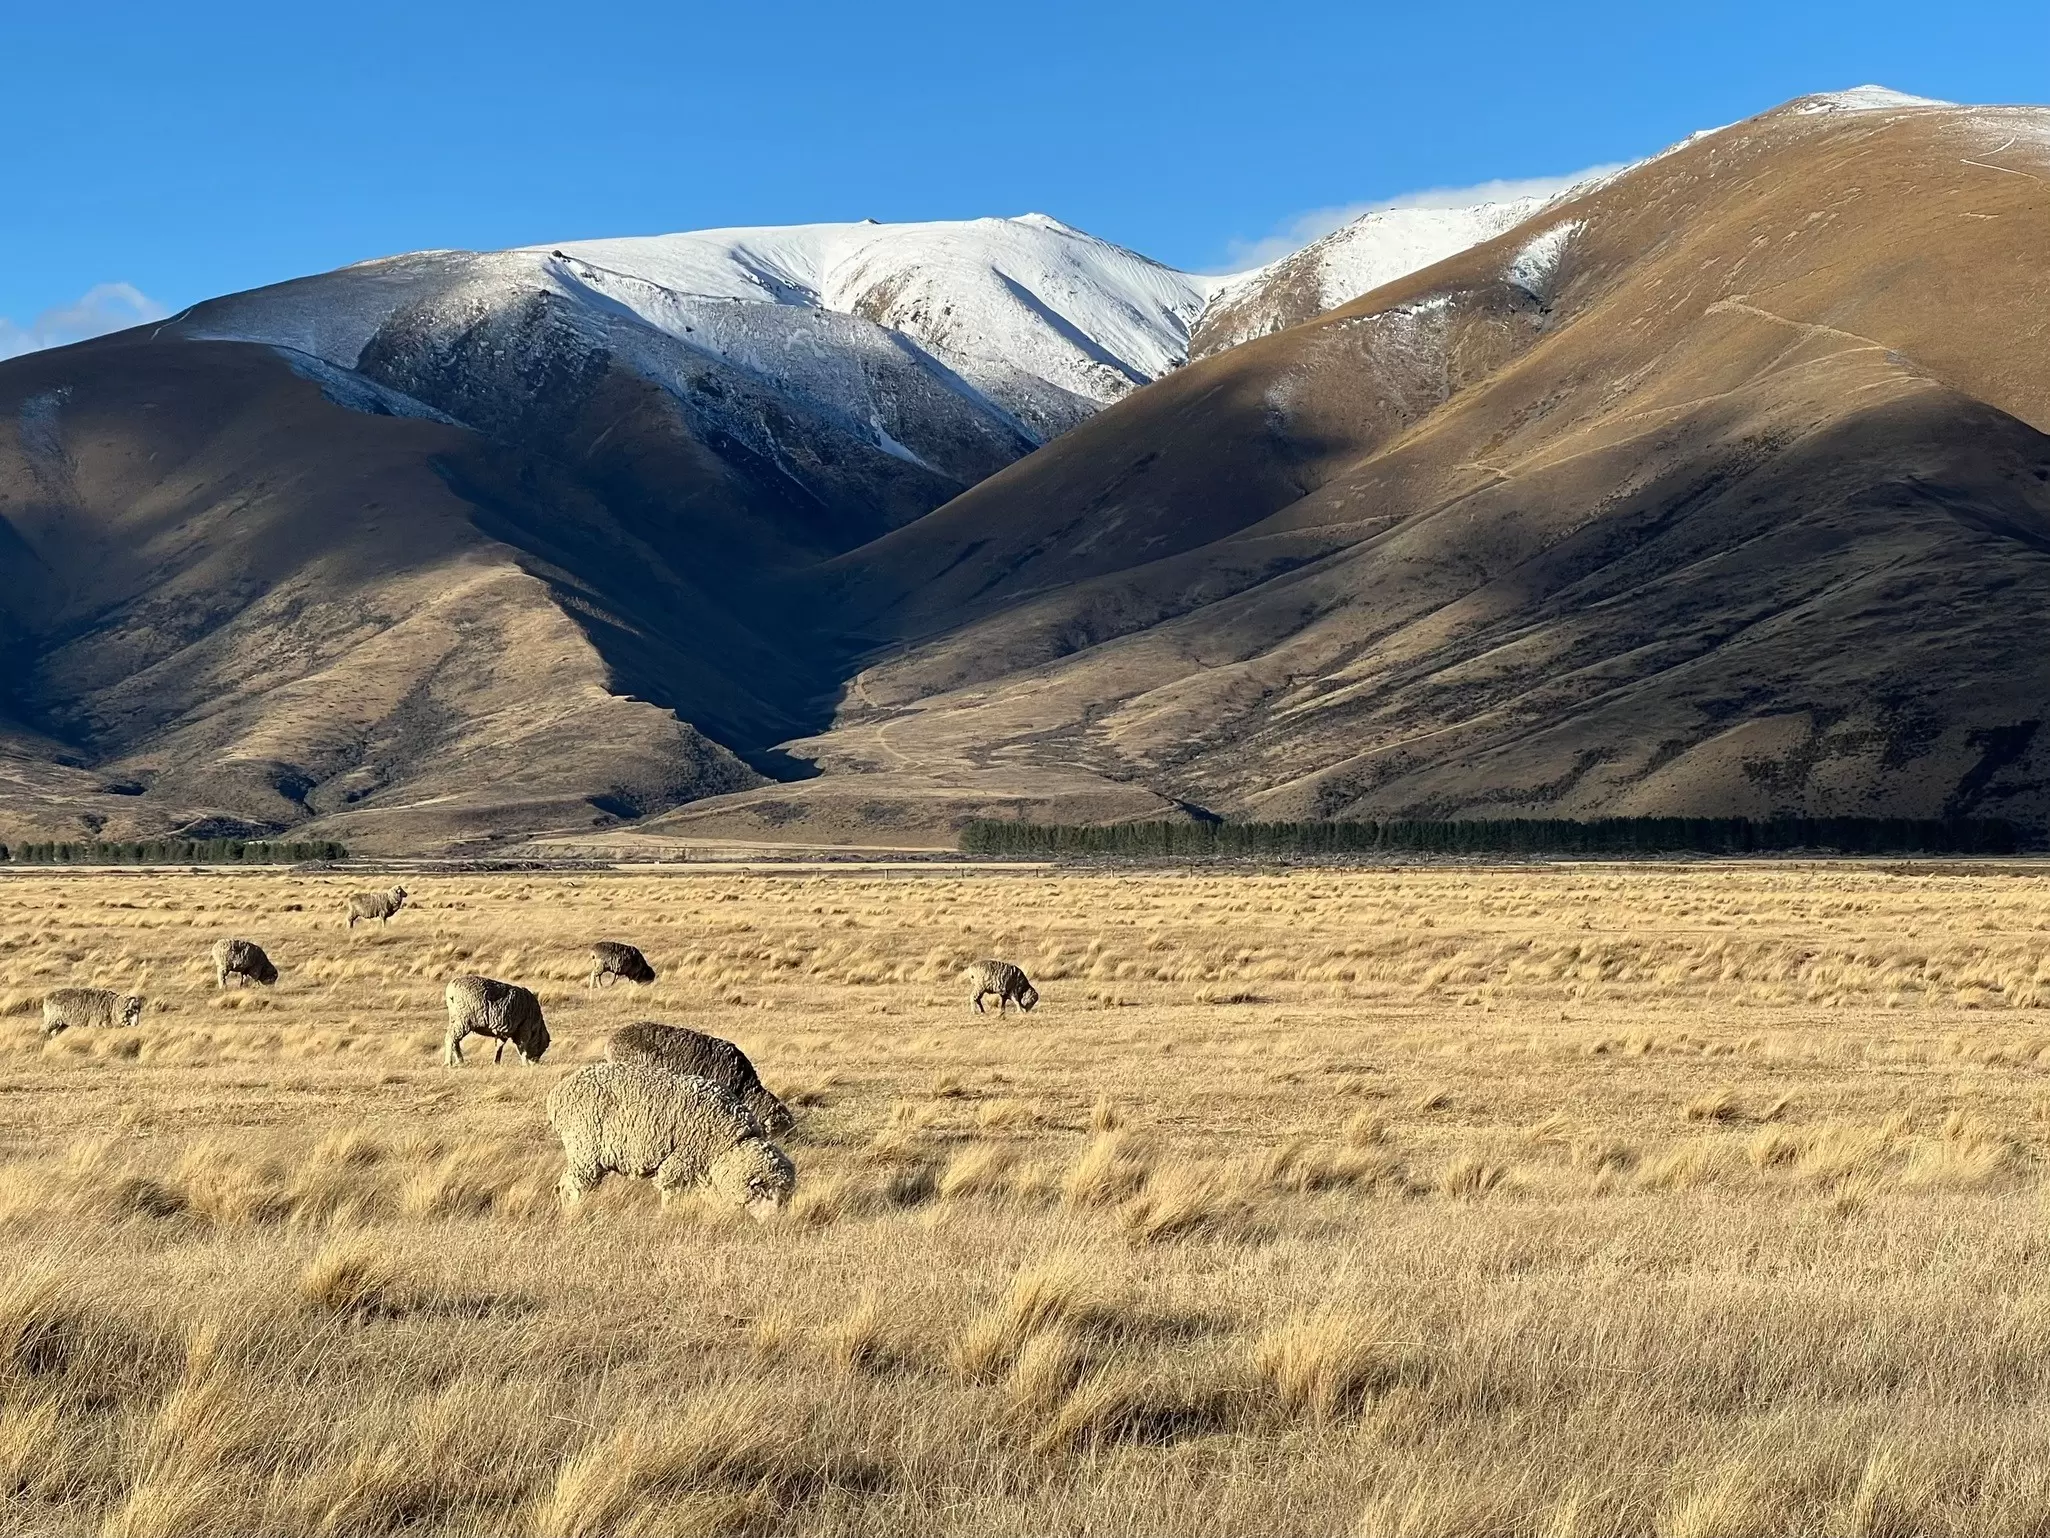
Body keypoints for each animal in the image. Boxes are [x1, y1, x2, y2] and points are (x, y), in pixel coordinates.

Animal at [547, 1059, 795, 1218]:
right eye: (767, 1193)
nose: (775, 1223)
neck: (728, 1146)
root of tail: (558, 1092)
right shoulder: (680, 1163)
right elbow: (672, 1195)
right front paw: (669, 1216)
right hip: (584, 1148)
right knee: (572, 1186)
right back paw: (575, 1212)